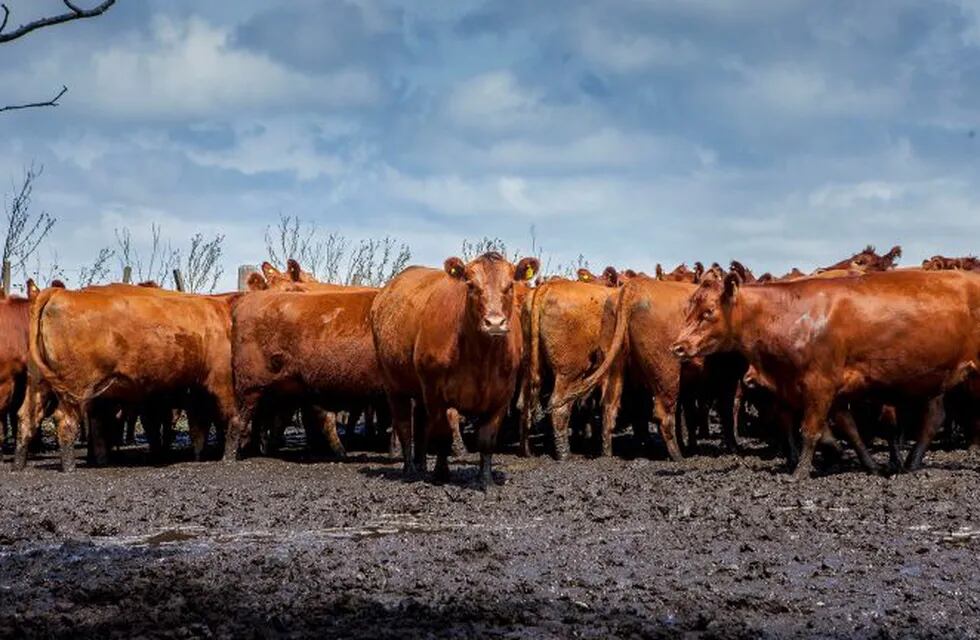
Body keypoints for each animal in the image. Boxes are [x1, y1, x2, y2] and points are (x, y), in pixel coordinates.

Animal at [25, 284, 241, 470]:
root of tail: (60, 293)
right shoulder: (223, 380)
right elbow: (232, 418)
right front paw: (229, 458)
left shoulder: (196, 390)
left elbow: (198, 427)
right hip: (74, 388)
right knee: (65, 421)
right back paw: (70, 467)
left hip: (40, 384)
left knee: (28, 416)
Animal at [370, 252, 536, 488]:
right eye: (471, 285)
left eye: (510, 285)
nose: (494, 322)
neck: (482, 359)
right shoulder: (436, 394)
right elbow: (442, 436)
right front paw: (441, 474)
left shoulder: (502, 395)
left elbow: (487, 439)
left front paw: (486, 480)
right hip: (394, 385)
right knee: (404, 427)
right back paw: (410, 470)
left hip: (420, 391)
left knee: (421, 425)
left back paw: (421, 465)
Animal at [668, 270, 980, 480]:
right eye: (688, 308)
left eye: (708, 312)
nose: (677, 346)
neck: (792, 316)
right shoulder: (827, 389)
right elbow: (846, 429)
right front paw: (864, 462)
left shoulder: (820, 383)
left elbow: (810, 430)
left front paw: (800, 473)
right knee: (934, 418)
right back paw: (912, 462)